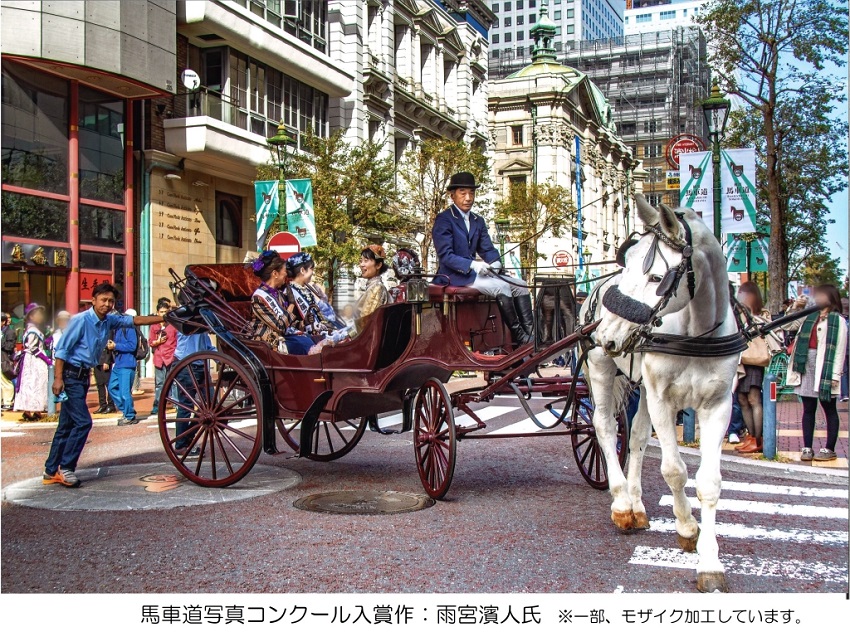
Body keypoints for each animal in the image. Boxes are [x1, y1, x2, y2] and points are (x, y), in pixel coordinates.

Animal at [580, 196, 740, 592]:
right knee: (603, 426)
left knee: (636, 436)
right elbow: (674, 471)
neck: (697, 332)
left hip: (640, 385)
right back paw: (622, 504)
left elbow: (709, 483)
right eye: (628, 263)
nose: (605, 333)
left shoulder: (719, 405)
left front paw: (710, 562)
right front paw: (686, 527)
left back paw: (636, 506)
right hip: (602, 369)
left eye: (657, 277)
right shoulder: (662, 399)